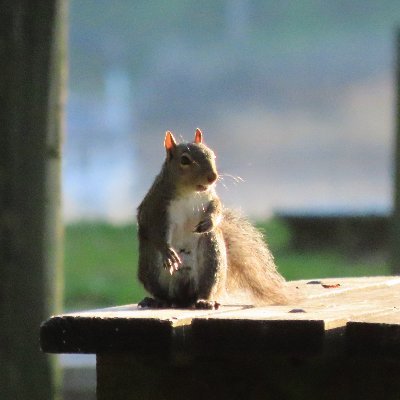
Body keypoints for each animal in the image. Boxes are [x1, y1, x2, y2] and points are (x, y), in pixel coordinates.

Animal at [136, 129, 290, 310]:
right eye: (184, 160)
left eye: (212, 155)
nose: (213, 177)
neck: (189, 193)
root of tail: (183, 297)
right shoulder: (154, 207)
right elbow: (153, 230)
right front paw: (168, 251)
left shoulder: (211, 198)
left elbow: (217, 208)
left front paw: (209, 221)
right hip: (151, 265)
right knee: (163, 292)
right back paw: (159, 300)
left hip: (212, 255)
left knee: (206, 288)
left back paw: (205, 301)